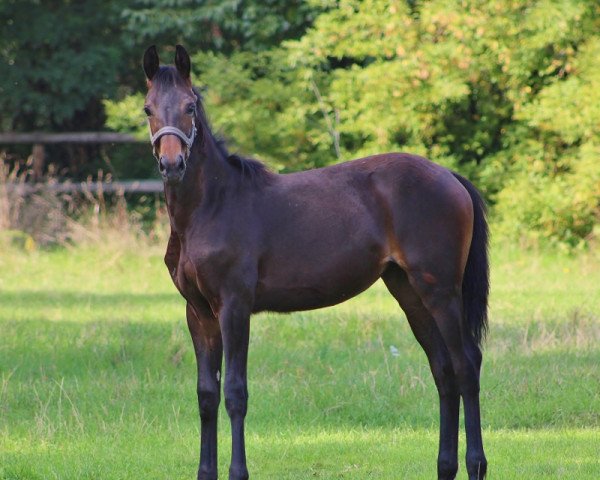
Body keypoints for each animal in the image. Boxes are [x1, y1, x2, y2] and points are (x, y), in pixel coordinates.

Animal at [143, 46, 490, 480]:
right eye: (147, 109)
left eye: (190, 106)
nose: (172, 165)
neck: (210, 208)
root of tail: (449, 176)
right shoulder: (199, 313)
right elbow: (207, 395)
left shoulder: (234, 307)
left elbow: (235, 392)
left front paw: (238, 472)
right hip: (410, 293)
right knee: (443, 372)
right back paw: (445, 466)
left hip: (440, 291)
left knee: (466, 366)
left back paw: (476, 465)